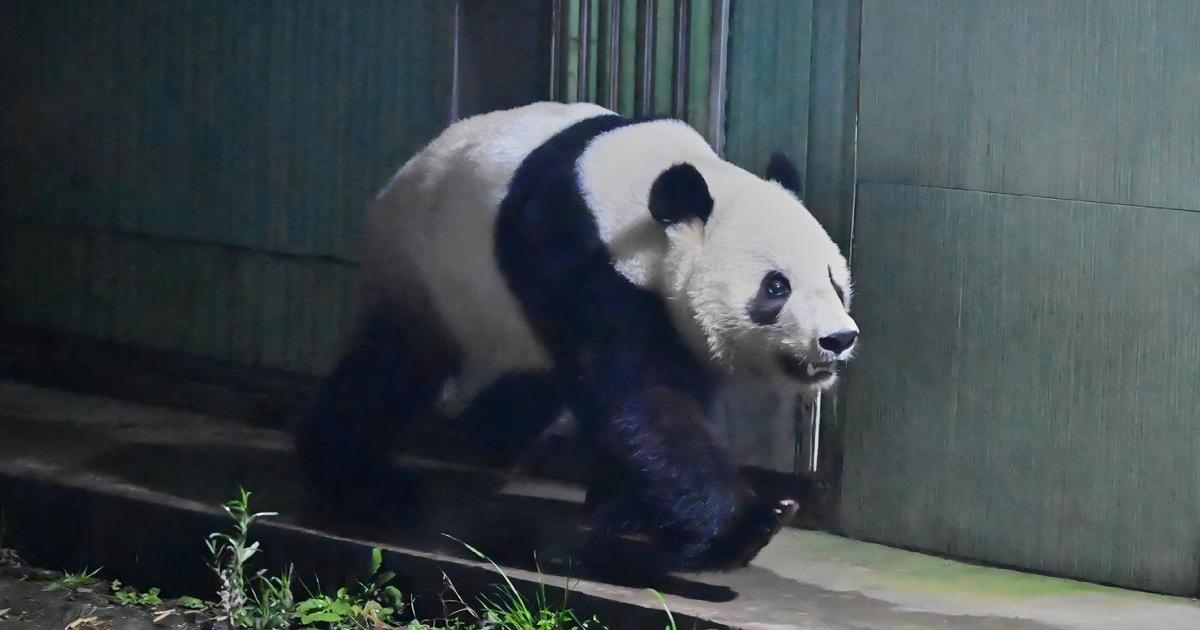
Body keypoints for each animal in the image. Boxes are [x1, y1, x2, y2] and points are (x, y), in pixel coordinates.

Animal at [296, 101, 858, 572]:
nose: (838, 339)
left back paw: (479, 440)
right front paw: (747, 524)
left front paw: (628, 508)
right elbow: (644, 400)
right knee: (390, 370)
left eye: (835, 280)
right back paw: (355, 477)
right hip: (423, 268)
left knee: (533, 385)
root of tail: (401, 175)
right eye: (777, 286)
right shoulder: (573, 254)